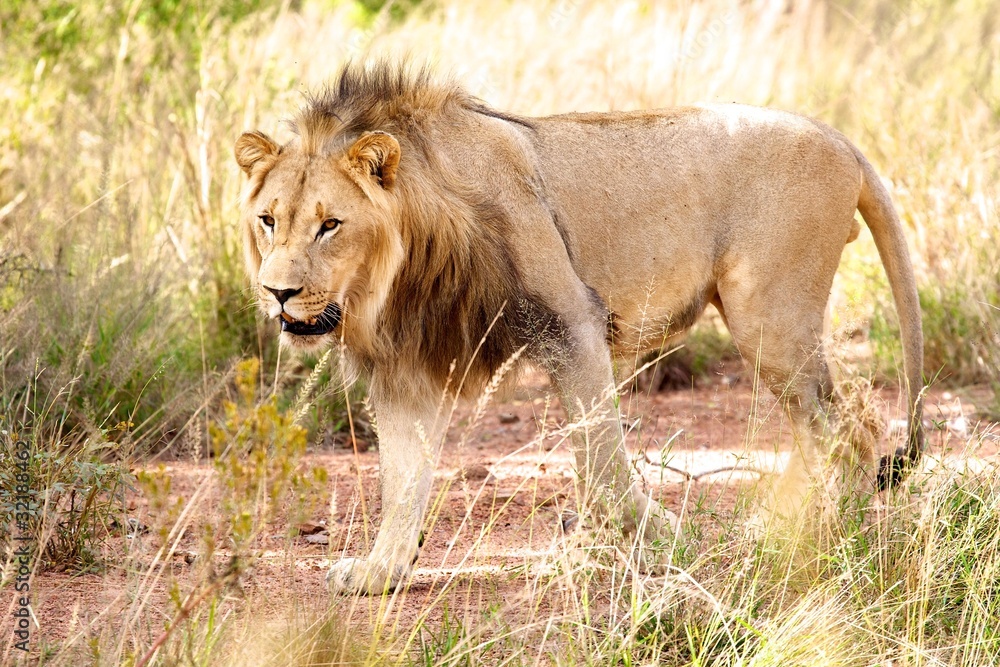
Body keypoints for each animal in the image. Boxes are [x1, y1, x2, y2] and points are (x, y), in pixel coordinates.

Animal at [234, 63, 924, 595]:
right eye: (268, 220)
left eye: (330, 224)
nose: (278, 292)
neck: (404, 268)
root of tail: (838, 137)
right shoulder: (408, 368)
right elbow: (404, 477)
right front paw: (380, 573)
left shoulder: (571, 322)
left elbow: (602, 458)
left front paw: (665, 541)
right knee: (823, 430)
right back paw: (792, 530)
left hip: (768, 319)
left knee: (850, 429)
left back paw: (822, 534)